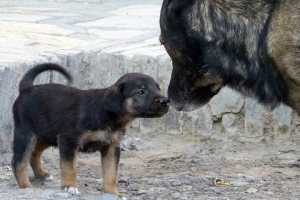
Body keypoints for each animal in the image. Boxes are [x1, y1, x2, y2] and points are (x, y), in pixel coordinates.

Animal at [11, 63, 170, 196]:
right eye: (141, 92)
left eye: (158, 88)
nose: (166, 101)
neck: (107, 114)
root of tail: (27, 89)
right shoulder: (68, 140)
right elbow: (69, 168)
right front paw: (69, 187)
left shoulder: (112, 147)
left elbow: (111, 174)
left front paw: (113, 193)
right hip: (26, 133)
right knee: (18, 161)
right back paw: (26, 187)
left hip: (46, 134)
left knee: (34, 153)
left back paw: (42, 174)